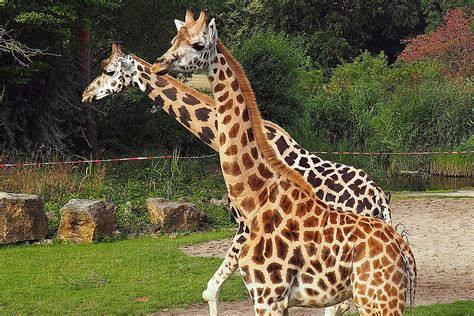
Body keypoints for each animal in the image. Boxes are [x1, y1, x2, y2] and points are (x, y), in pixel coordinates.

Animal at [83, 42, 394, 316]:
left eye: (109, 71)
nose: (86, 94)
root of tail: (380, 202)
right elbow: (212, 289)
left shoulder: (245, 226)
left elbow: (213, 290)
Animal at [152, 10, 414, 316]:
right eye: (174, 39)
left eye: (198, 45)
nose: (159, 63)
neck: (255, 196)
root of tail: (404, 251)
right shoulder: (273, 298)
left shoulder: (268, 296)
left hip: (378, 298)